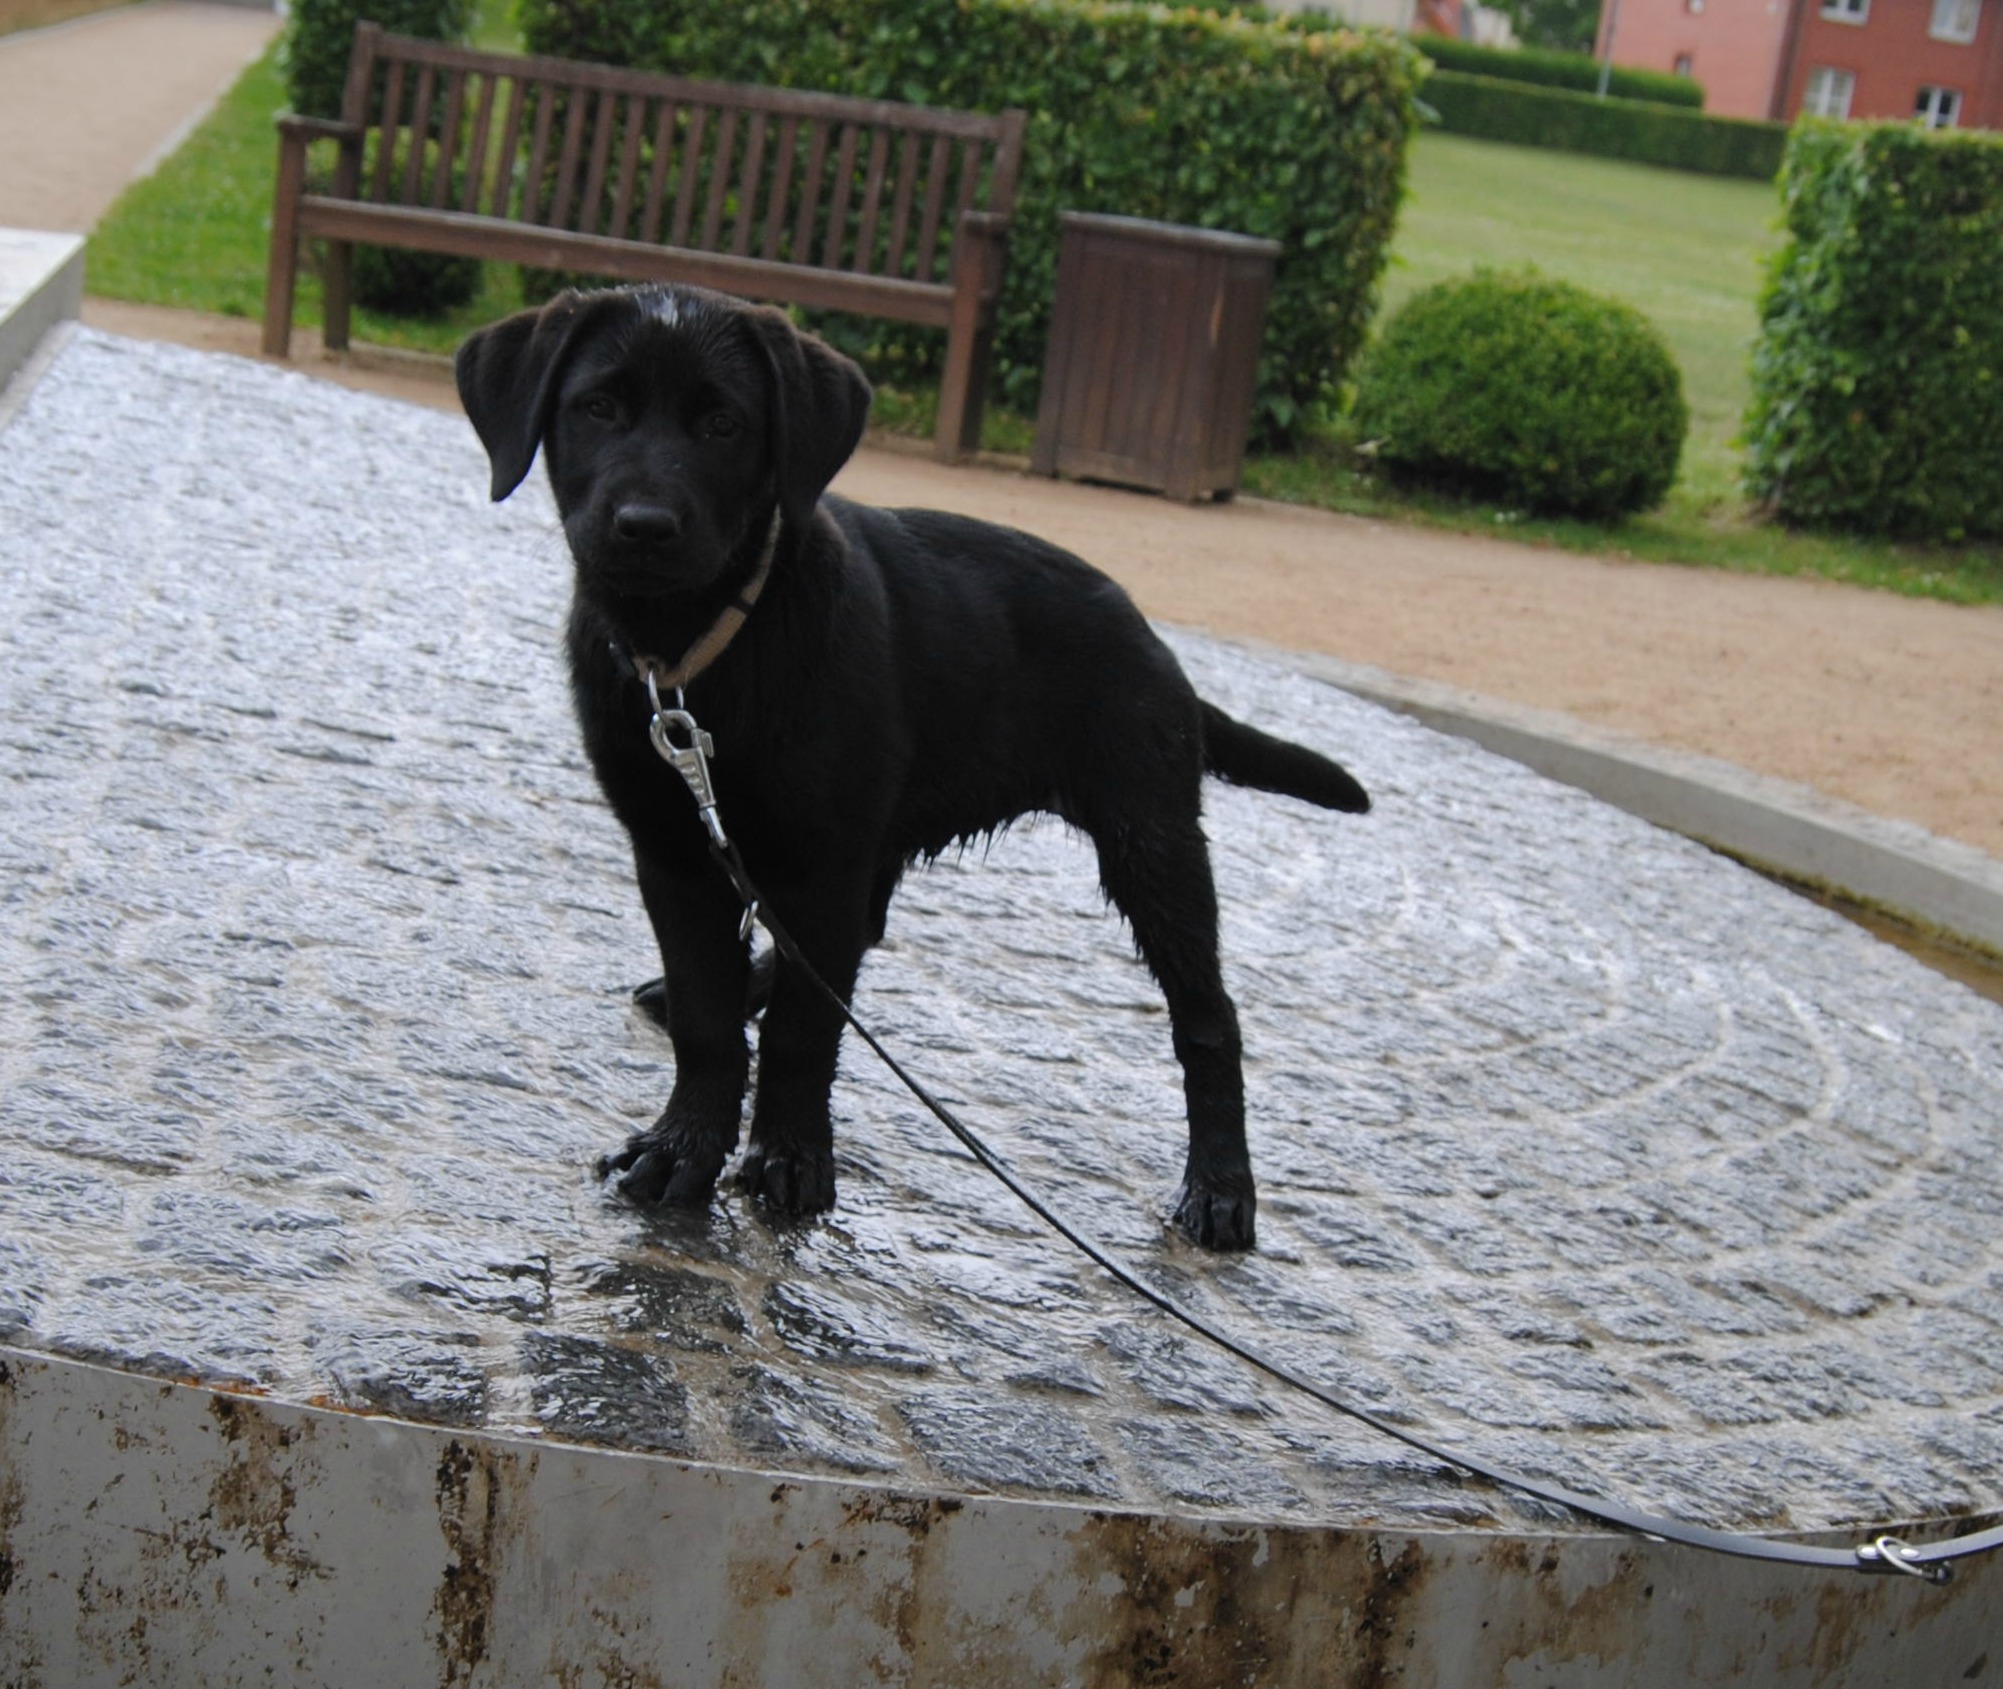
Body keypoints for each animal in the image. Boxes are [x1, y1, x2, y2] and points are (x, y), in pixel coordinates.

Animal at [454, 284, 1370, 1250]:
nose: (644, 527)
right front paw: (685, 1146)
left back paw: (1221, 1189)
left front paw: (791, 1159)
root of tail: (1154, 640)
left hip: (1148, 841)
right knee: (845, 938)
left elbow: (804, 1030)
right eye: (596, 408)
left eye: (723, 423)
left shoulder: (823, 858)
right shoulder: (674, 851)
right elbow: (711, 1022)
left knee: (1207, 1019)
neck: (699, 653)